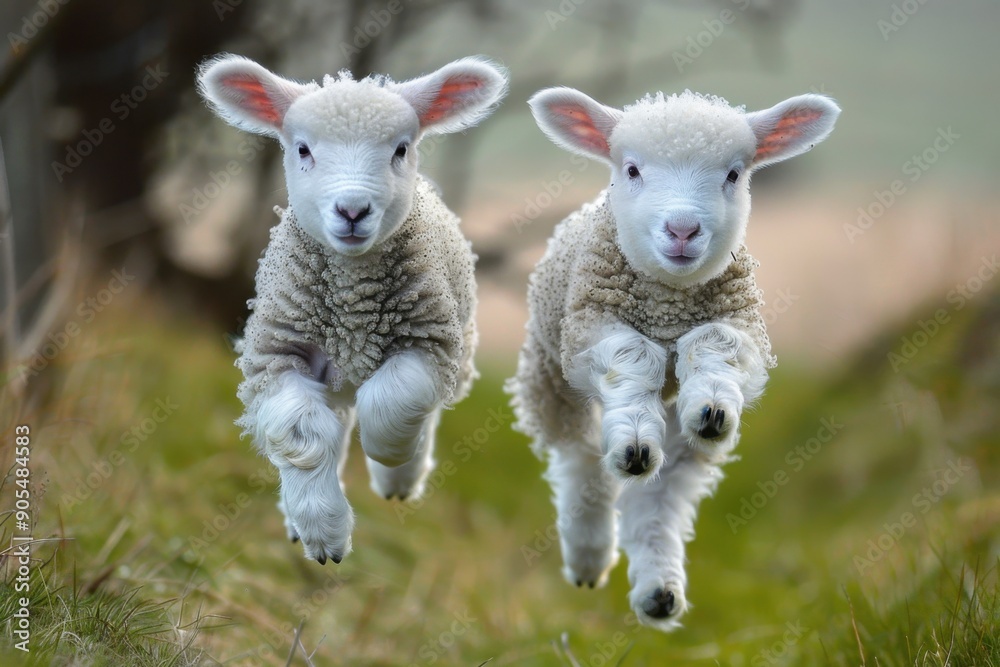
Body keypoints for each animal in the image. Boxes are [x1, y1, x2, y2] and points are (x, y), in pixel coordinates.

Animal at [197, 55, 507, 565]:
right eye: (302, 149)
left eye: (401, 149)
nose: (352, 210)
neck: (352, 306)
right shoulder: (278, 353)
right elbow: (301, 436)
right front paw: (323, 532)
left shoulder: (426, 339)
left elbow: (392, 402)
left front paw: (391, 458)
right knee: (331, 424)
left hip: (457, 343)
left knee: (419, 410)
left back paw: (401, 476)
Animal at [506, 87, 839, 630]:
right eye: (632, 169)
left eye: (733, 174)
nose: (683, 229)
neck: (668, 301)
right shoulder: (590, 329)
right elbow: (632, 355)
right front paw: (632, 434)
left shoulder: (740, 324)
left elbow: (713, 345)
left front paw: (712, 406)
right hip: (548, 373)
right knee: (581, 460)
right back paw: (592, 545)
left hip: (679, 440)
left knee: (660, 495)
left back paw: (657, 585)